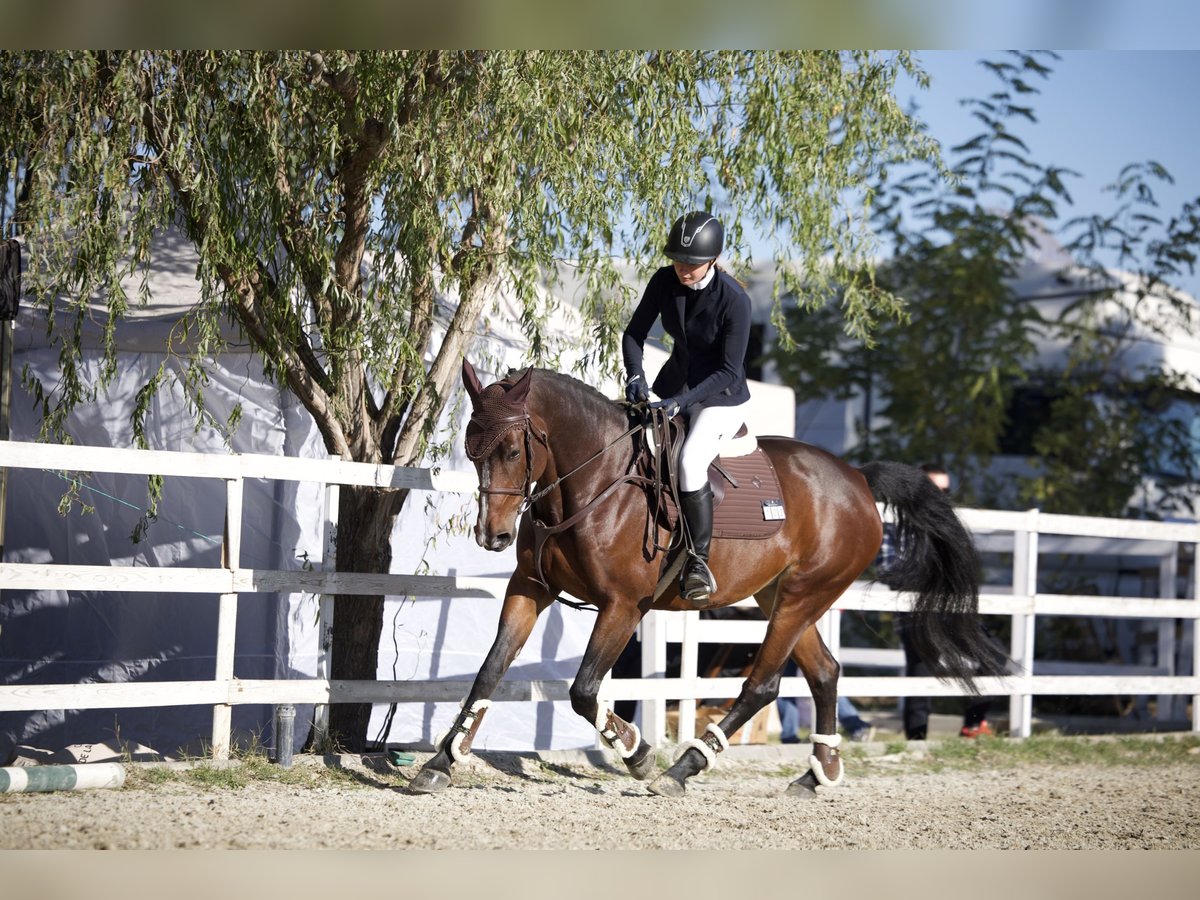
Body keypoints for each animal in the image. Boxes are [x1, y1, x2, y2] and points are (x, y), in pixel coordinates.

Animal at [408, 360, 1008, 796]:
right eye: (470, 449)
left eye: (513, 449)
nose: (492, 536)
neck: (595, 480)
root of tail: (858, 478)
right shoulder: (530, 590)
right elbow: (488, 672)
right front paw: (440, 762)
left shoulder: (623, 606)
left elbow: (583, 691)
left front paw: (638, 753)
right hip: (780, 596)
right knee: (825, 672)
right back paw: (819, 773)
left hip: (802, 595)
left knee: (763, 683)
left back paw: (683, 768)